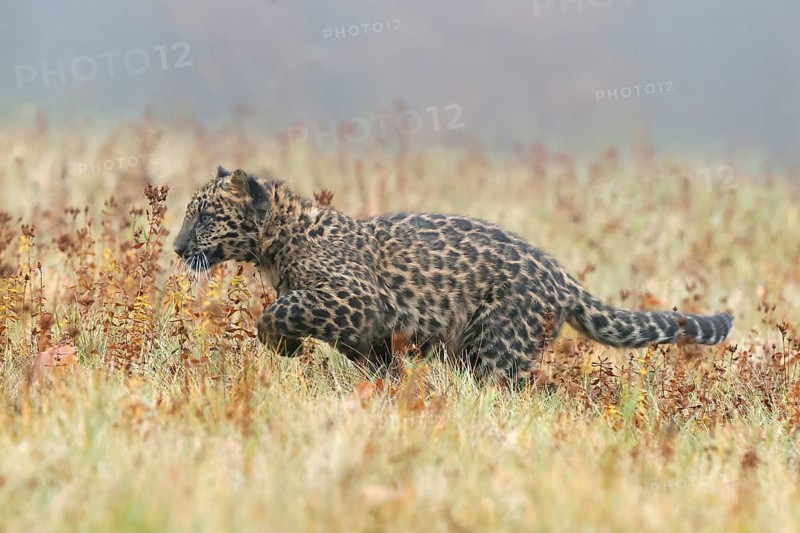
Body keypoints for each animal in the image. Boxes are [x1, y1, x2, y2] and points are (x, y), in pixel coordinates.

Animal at [173, 166, 734, 382]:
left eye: (204, 216)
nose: (177, 247)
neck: (277, 243)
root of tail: (560, 274)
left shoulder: (354, 299)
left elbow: (280, 309)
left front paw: (280, 344)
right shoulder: (370, 333)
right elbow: (379, 368)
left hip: (498, 348)